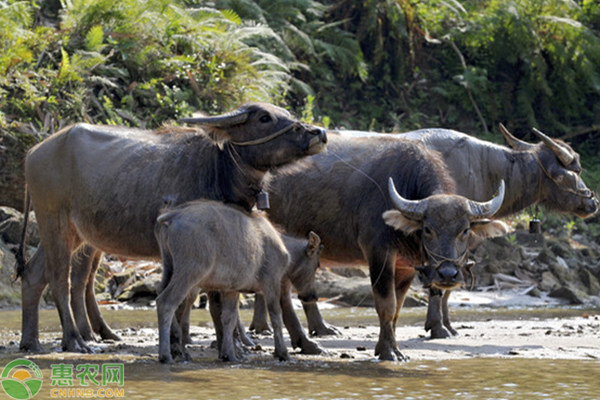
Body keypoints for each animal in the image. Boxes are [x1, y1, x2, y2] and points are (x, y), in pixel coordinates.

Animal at [155, 200, 324, 362]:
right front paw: (282, 352)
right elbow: (276, 316)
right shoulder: (271, 282)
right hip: (191, 271)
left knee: (163, 296)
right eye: (317, 264)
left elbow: (228, 318)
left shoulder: (232, 289)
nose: (313, 296)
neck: (287, 253)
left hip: (169, 267)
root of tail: (171, 217)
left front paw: (228, 354)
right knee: (166, 302)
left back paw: (178, 349)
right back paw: (166, 354)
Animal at [264, 134, 508, 360]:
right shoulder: (378, 253)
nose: (448, 274)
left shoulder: (406, 265)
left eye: (465, 230)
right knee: (282, 293)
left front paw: (392, 347)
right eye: (428, 229)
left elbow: (397, 308)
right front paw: (388, 351)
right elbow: (386, 304)